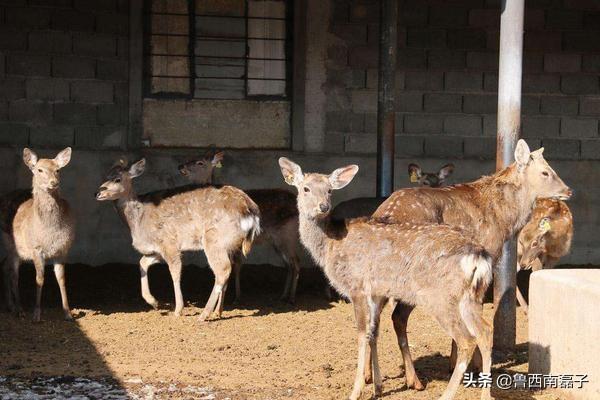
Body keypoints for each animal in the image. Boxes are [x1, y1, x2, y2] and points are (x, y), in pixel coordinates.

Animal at [0, 148, 75, 322]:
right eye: (39, 170)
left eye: (58, 170)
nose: (54, 183)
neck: (50, 231)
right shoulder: (36, 248)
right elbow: (39, 279)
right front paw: (36, 314)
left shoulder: (63, 249)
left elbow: (62, 278)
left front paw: (68, 313)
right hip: (11, 244)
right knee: (13, 273)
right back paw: (19, 309)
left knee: (4, 265)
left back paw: (10, 305)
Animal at [96, 158, 260, 320]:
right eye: (105, 176)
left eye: (117, 179)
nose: (98, 193)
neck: (138, 222)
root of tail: (250, 211)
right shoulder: (157, 249)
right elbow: (142, 263)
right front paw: (154, 302)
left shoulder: (169, 242)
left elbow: (175, 272)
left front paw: (177, 310)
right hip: (230, 243)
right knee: (230, 267)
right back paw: (217, 311)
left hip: (215, 239)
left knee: (223, 270)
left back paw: (203, 315)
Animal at [177, 150, 300, 304]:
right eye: (190, 157)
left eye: (200, 162)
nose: (180, 166)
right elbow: (236, 266)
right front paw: (235, 296)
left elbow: (235, 266)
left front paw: (235, 297)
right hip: (277, 242)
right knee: (288, 265)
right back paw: (283, 296)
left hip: (288, 236)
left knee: (295, 263)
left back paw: (292, 298)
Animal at [278, 158, 494, 400]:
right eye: (305, 188)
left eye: (330, 190)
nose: (323, 206)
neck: (330, 246)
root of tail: (479, 256)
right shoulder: (375, 292)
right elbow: (373, 332)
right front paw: (378, 386)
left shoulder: (357, 286)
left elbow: (362, 334)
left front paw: (356, 391)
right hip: (471, 295)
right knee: (485, 331)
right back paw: (485, 394)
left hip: (440, 297)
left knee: (467, 339)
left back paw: (446, 395)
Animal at [368, 139, 576, 390]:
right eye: (546, 172)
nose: (568, 190)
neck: (505, 221)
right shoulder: (487, 256)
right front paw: (473, 366)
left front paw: (455, 363)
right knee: (397, 316)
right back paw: (412, 380)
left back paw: (371, 378)